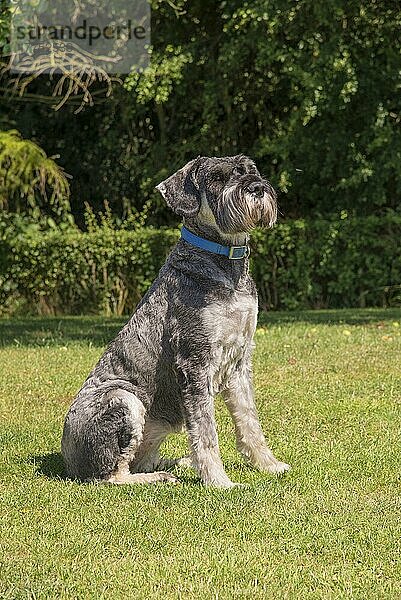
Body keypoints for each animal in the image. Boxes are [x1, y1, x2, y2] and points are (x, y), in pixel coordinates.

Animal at [61, 155, 290, 488]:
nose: (258, 188)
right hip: (124, 400)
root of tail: (68, 461)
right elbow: (206, 432)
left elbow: (249, 420)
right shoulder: (194, 363)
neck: (225, 265)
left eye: (250, 169)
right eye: (217, 178)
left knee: (140, 459)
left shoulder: (240, 361)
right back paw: (158, 476)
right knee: (112, 475)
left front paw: (269, 465)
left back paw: (179, 463)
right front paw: (220, 482)